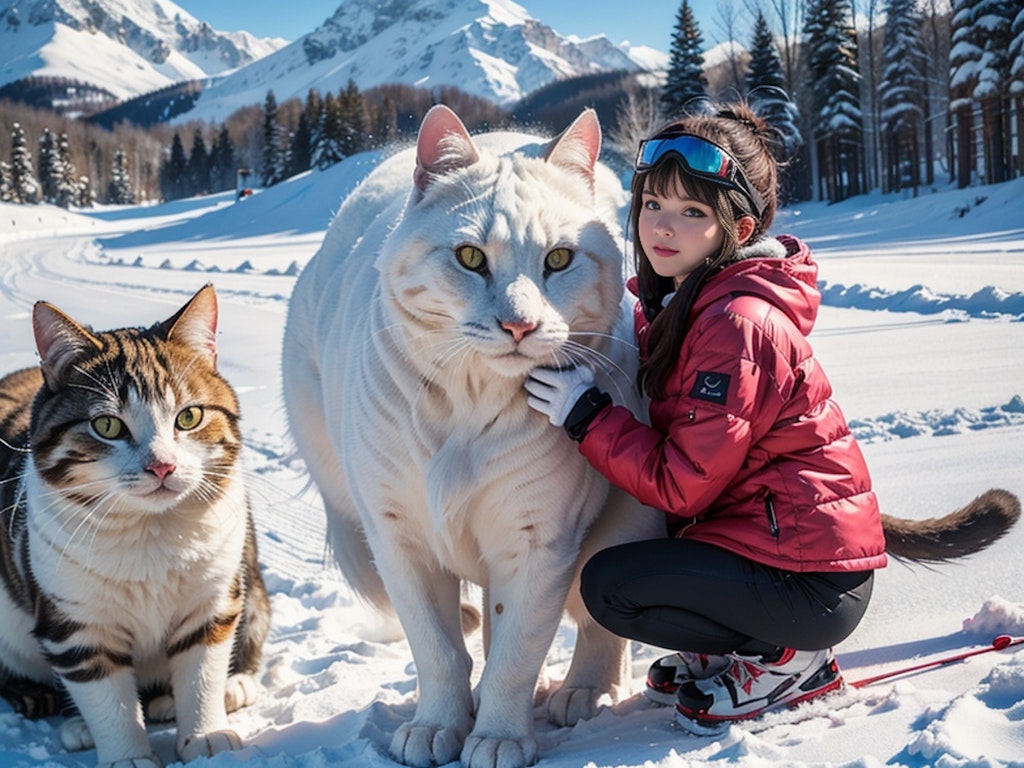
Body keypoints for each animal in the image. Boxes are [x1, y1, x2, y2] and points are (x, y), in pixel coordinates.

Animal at [0, 286, 270, 768]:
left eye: (189, 417)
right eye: (106, 425)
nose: (162, 465)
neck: (150, 534)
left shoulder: (210, 597)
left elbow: (201, 671)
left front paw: (206, 736)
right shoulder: (75, 619)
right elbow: (107, 697)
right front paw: (126, 755)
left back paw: (226, 686)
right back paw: (67, 717)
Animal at [280, 108, 663, 768]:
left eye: (559, 258)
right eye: (469, 256)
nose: (520, 324)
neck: (469, 407)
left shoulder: (538, 537)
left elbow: (517, 650)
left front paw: (500, 736)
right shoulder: (398, 533)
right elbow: (437, 648)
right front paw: (437, 726)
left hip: (624, 523)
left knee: (596, 627)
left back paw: (587, 691)